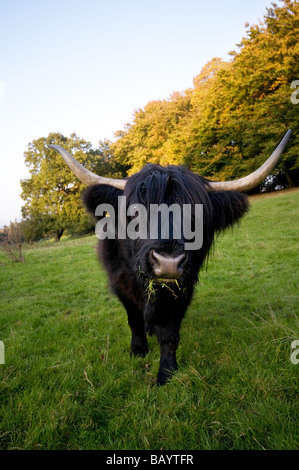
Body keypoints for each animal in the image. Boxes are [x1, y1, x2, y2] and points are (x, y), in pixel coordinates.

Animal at [49, 129, 292, 386]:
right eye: (135, 213)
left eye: (197, 215)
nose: (168, 263)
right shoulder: (120, 284)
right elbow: (133, 319)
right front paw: (138, 350)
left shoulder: (183, 288)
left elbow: (170, 333)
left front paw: (166, 372)